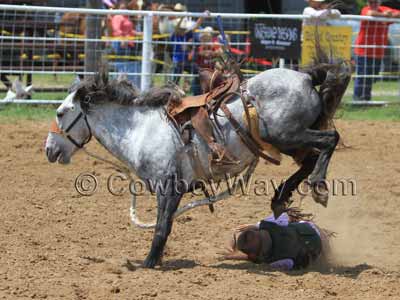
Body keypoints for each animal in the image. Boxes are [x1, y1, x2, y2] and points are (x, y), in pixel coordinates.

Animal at [44, 46, 350, 268]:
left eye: (60, 113)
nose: (49, 150)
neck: (140, 130)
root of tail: (306, 78)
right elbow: (164, 224)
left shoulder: (169, 187)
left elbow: (162, 226)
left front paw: (148, 263)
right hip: (286, 140)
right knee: (310, 158)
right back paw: (281, 198)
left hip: (283, 134)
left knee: (329, 140)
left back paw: (319, 187)